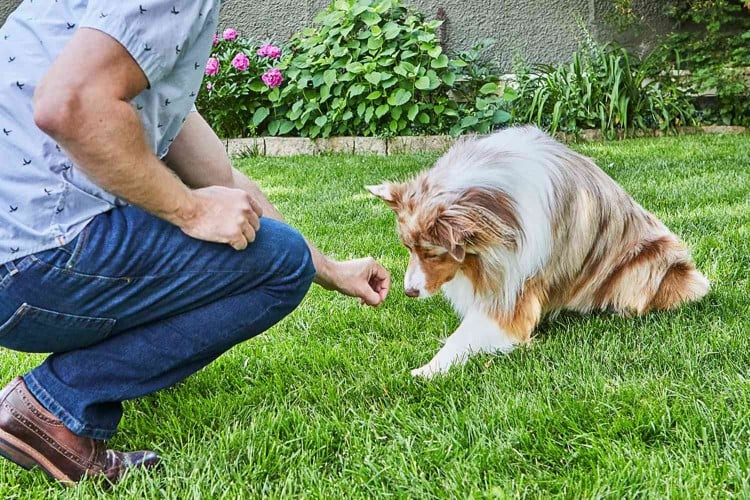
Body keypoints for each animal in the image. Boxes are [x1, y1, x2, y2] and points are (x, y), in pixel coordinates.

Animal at [368, 127, 712, 376]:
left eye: (433, 253)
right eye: (407, 248)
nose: (409, 291)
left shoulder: (514, 291)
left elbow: (466, 335)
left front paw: (427, 370)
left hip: (648, 263)